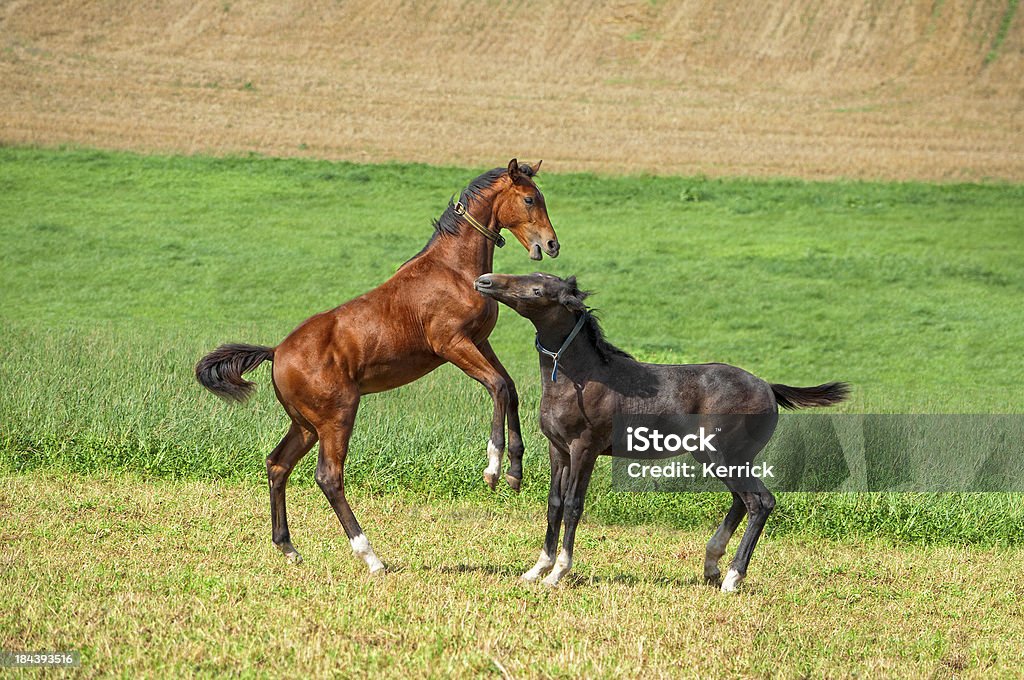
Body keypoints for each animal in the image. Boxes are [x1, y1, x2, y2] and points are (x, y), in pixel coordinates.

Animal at [194, 160, 557, 573]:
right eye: (529, 199)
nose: (551, 244)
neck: (452, 269)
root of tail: (277, 352)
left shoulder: (480, 342)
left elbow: (509, 388)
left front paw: (514, 472)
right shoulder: (453, 345)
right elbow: (497, 386)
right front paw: (493, 468)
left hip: (305, 425)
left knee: (277, 464)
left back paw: (288, 547)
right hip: (337, 417)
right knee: (328, 476)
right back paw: (370, 556)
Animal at [471, 270, 847, 589]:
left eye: (538, 290)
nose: (485, 281)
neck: (579, 378)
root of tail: (768, 387)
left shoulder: (585, 449)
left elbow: (574, 505)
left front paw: (558, 573)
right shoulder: (558, 448)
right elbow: (554, 504)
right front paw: (537, 569)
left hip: (723, 455)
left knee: (759, 501)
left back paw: (732, 577)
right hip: (721, 456)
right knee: (742, 501)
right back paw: (711, 565)